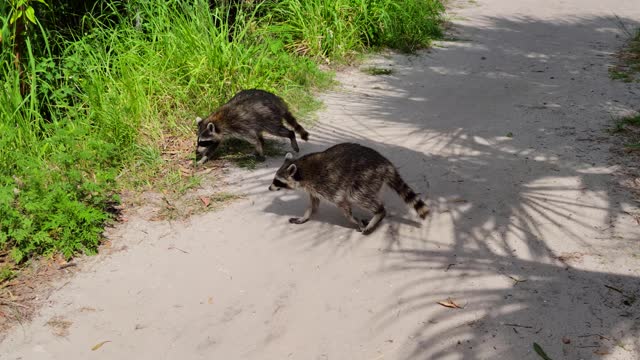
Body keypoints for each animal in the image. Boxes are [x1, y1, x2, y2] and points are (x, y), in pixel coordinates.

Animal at [268, 142, 428, 235]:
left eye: (277, 181)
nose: (269, 188)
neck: (301, 169)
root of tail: (386, 164)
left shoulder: (327, 184)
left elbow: (343, 204)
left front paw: (354, 220)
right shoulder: (313, 189)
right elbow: (313, 204)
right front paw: (305, 216)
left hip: (366, 176)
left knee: (357, 195)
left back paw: (378, 213)